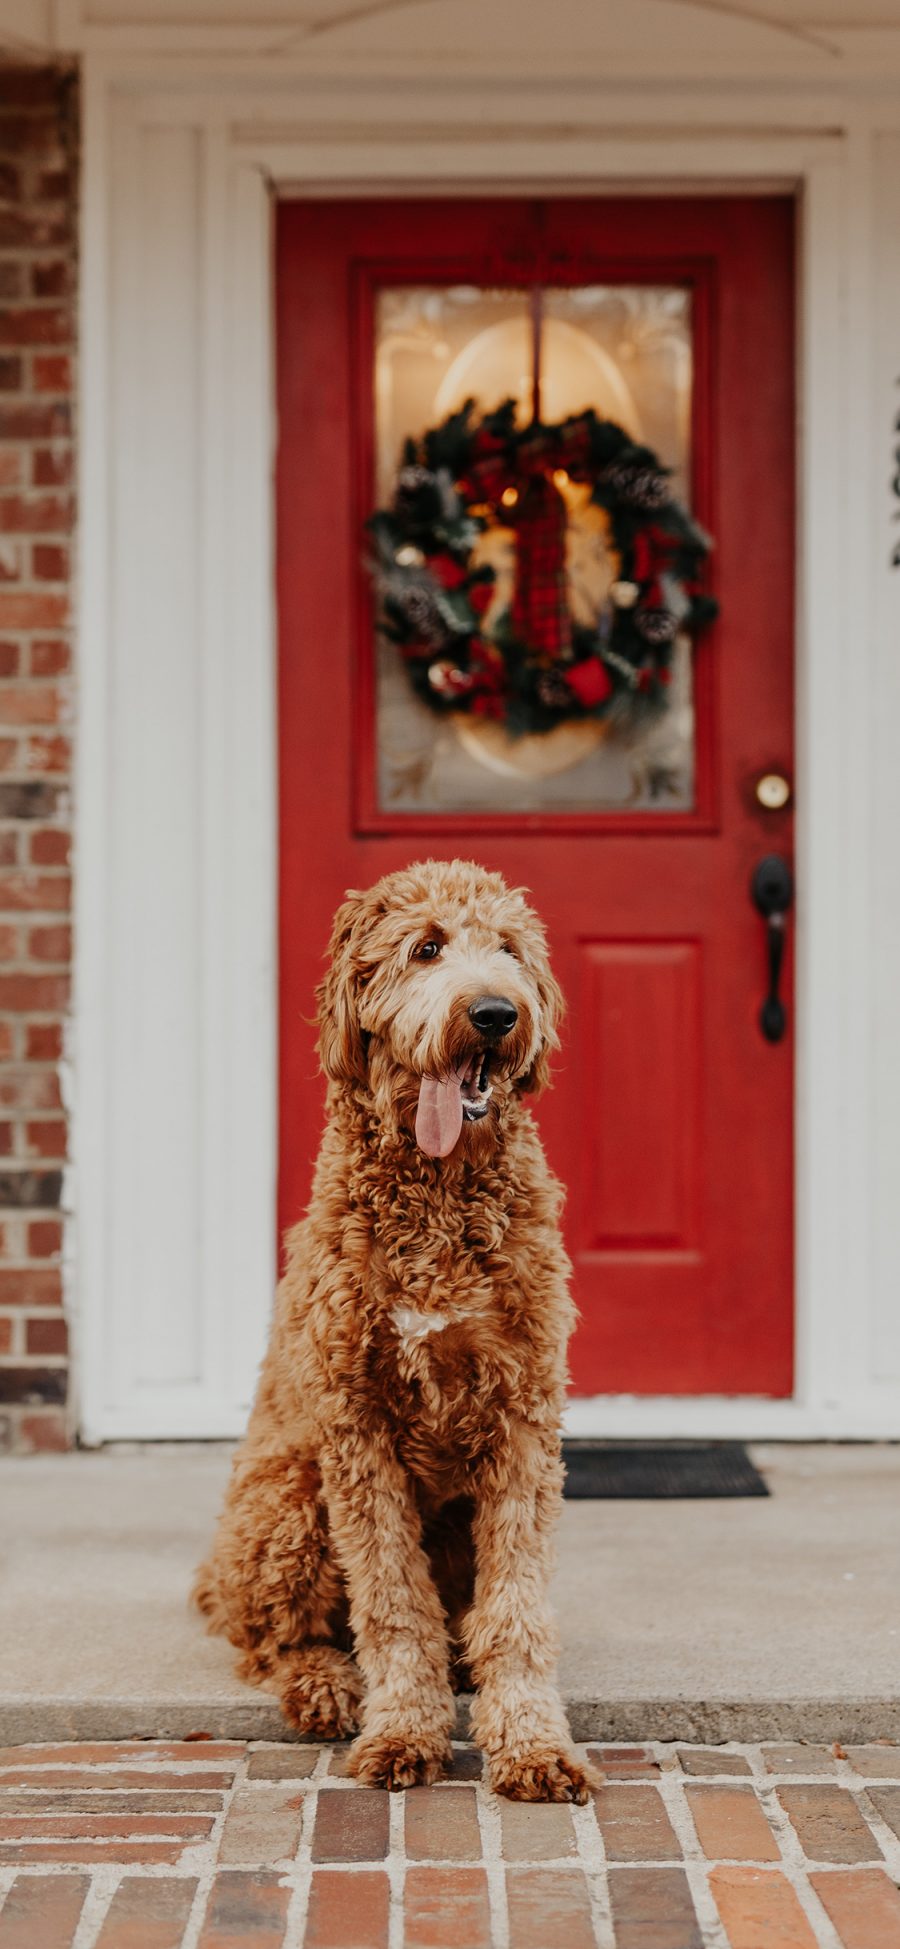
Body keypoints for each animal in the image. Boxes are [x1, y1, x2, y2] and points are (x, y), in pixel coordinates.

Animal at [193, 861, 592, 1800]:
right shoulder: (357, 1427)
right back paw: (324, 1684)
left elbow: (515, 1608)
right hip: (289, 1499)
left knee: (464, 1618)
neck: (438, 1191)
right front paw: (405, 1728)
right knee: (272, 1640)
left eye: (509, 949)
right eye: (427, 948)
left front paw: (531, 1742)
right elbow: (390, 1600)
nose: (496, 1013)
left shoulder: (522, 1417)